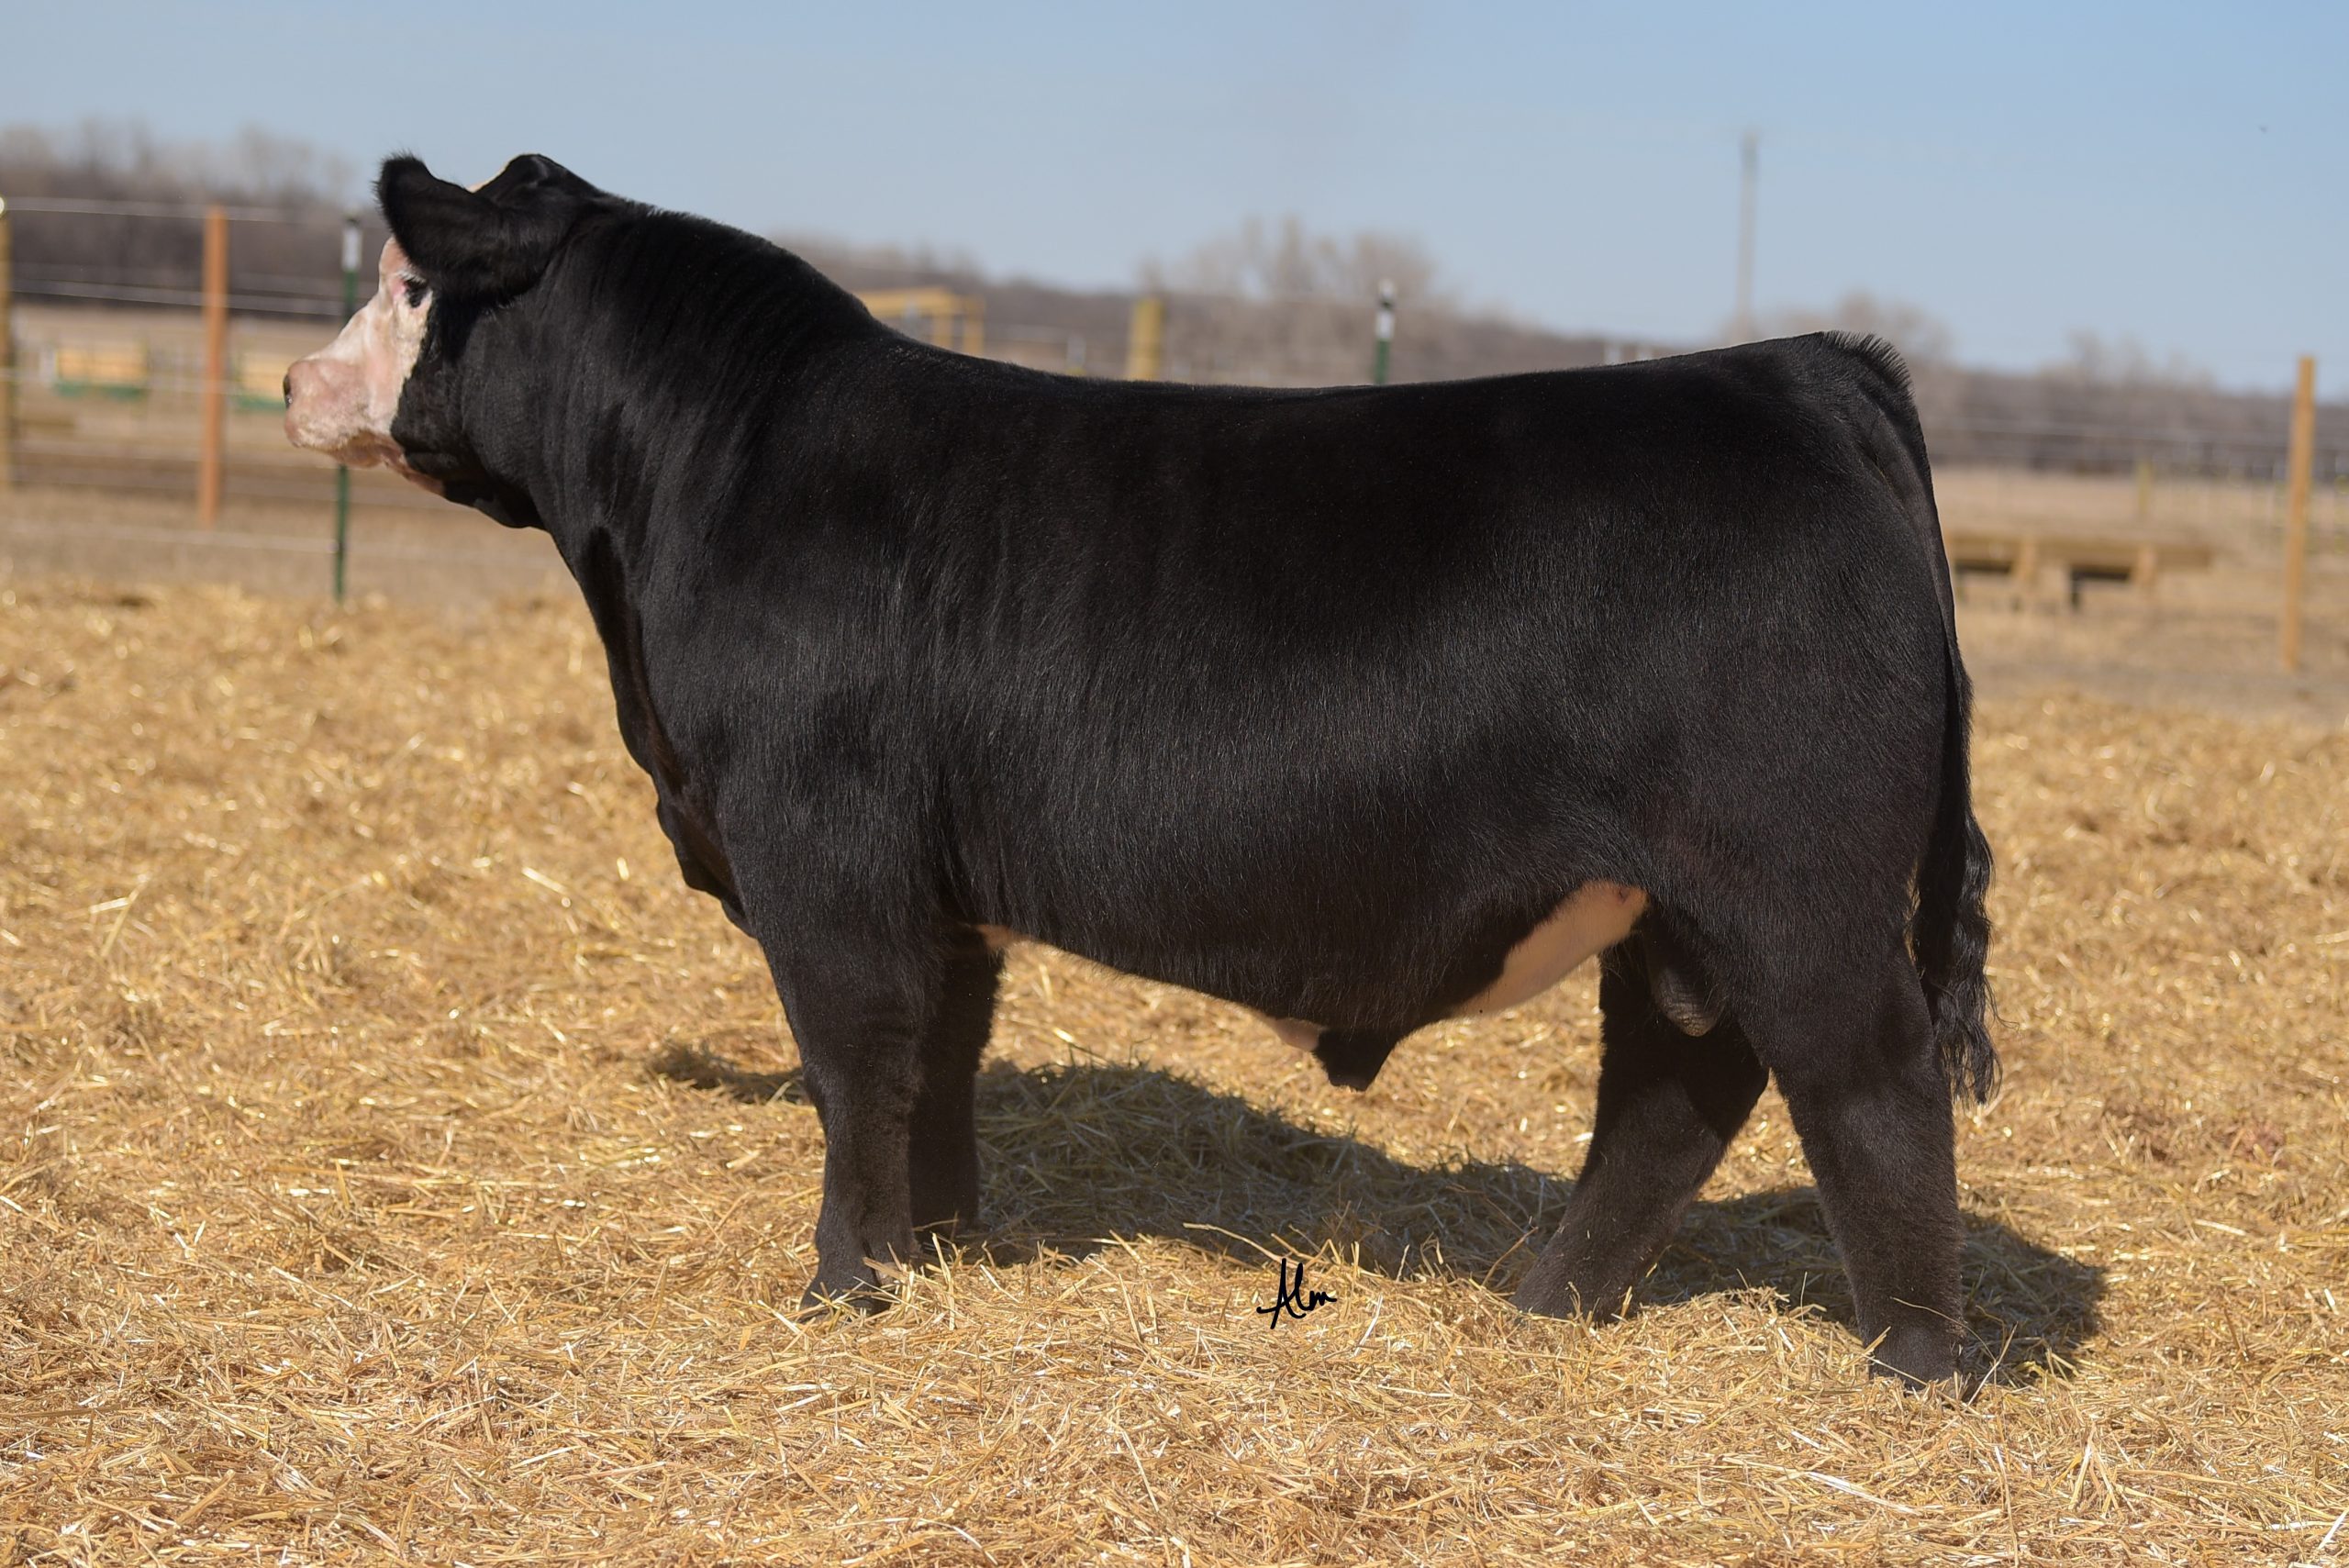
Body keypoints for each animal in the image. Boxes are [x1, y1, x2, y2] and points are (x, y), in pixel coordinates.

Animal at [286, 153, 1997, 1386]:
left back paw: (1914, 1363)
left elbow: (855, 1058)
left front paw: (845, 1281)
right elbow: (942, 1061)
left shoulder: (819, 850)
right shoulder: (938, 884)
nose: (294, 384)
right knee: (1677, 1089)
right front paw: (941, 1247)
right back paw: (1548, 1304)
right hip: (1677, 911)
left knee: (1872, 1086)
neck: (708, 481)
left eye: (405, 281)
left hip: (1795, 889)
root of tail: (1797, 371)